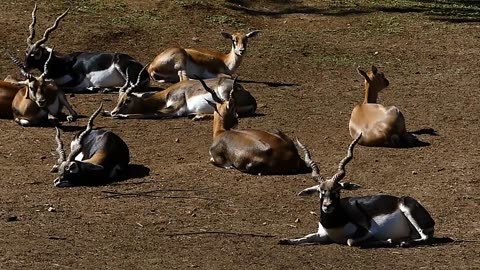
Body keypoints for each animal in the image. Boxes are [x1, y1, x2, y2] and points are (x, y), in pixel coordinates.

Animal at [104, 69, 255, 119]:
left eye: (128, 100)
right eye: (119, 98)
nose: (114, 112)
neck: (165, 96)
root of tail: (252, 100)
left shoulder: (174, 110)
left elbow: (149, 113)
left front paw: (121, 115)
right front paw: (106, 112)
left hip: (224, 94)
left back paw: (197, 116)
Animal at [278, 134, 436, 248]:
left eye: (337, 190)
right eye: (320, 191)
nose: (327, 206)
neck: (335, 222)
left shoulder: (367, 231)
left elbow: (350, 241)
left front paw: (388, 241)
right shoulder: (323, 235)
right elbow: (305, 237)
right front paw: (285, 240)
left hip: (407, 209)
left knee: (425, 237)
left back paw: (402, 242)